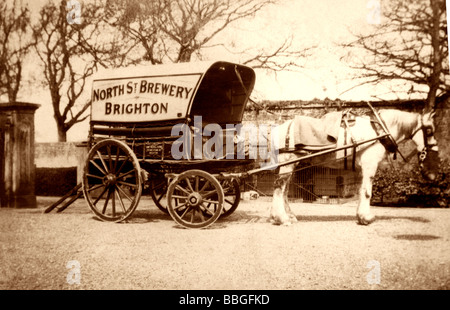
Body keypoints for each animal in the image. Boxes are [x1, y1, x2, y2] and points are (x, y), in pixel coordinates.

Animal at [268, 109, 440, 225]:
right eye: (429, 130)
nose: (432, 174)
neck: (379, 131)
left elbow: (361, 190)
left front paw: (360, 216)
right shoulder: (370, 165)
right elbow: (367, 192)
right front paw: (366, 218)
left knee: (284, 190)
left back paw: (287, 216)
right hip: (288, 162)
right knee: (278, 187)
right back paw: (281, 218)